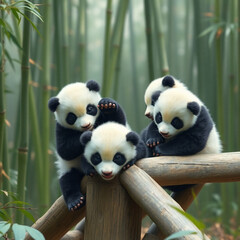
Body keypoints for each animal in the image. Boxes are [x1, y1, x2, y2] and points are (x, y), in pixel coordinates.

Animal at [48, 80, 127, 210]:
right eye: (71, 117)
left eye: (90, 109)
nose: (86, 125)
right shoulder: (61, 129)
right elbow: (64, 150)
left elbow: (118, 123)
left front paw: (108, 105)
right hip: (69, 167)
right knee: (68, 181)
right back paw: (75, 201)